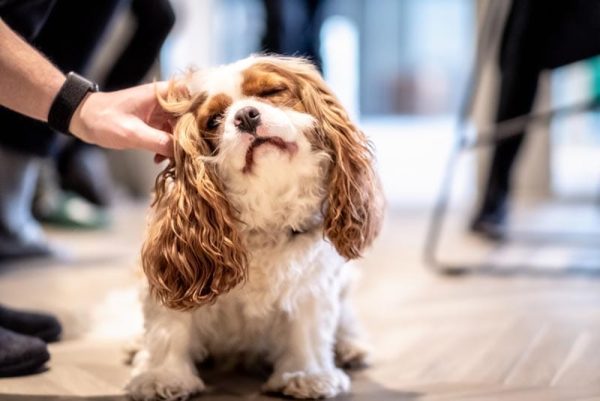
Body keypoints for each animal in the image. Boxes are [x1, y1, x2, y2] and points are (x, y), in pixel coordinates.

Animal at [126, 54, 384, 398]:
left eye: (272, 92)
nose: (246, 115)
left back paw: (350, 346)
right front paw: (162, 376)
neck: (267, 211)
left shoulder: (312, 283)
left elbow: (308, 329)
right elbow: (169, 328)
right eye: (214, 120)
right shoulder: (176, 278)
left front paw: (307, 374)